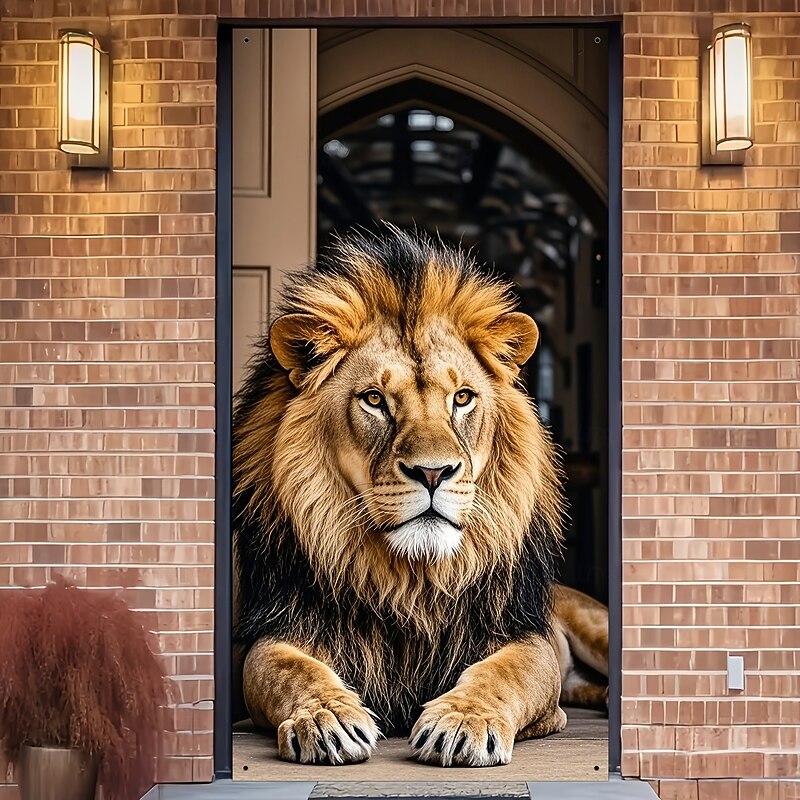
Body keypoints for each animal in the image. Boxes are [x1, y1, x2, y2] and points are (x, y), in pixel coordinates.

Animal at [233, 226, 608, 767]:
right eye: (374, 399)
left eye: (462, 398)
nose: (433, 472)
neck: (413, 580)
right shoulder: (276, 632)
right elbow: (288, 669)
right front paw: (326, 718)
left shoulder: (525, 639)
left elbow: (501, 673)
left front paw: (463, 722)